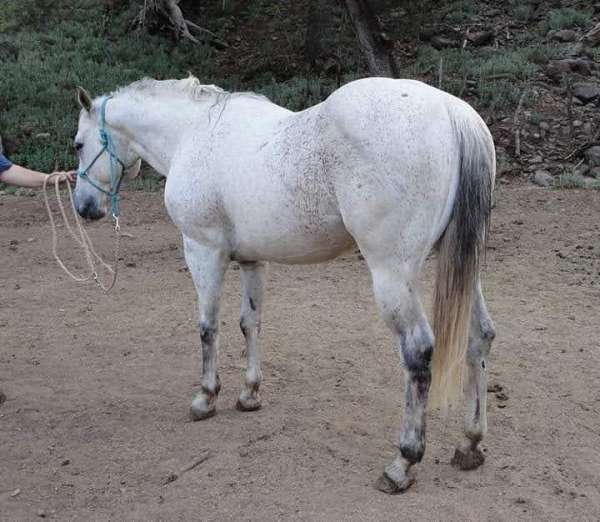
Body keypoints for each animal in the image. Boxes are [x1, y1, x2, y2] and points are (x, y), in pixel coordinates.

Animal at [72, 74, 494, 492]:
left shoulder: (202, 250)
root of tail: (452, 113)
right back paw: (470, 444)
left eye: (78, 144)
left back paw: (402, 463)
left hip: (393, 275)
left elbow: (208, 328)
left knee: (418, 352)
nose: (84, 207)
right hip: (464, 267)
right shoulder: (252, 261)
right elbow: (249, 324)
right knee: (480, 337)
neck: (191, 133)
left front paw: (206, 398)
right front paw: (249, 394)